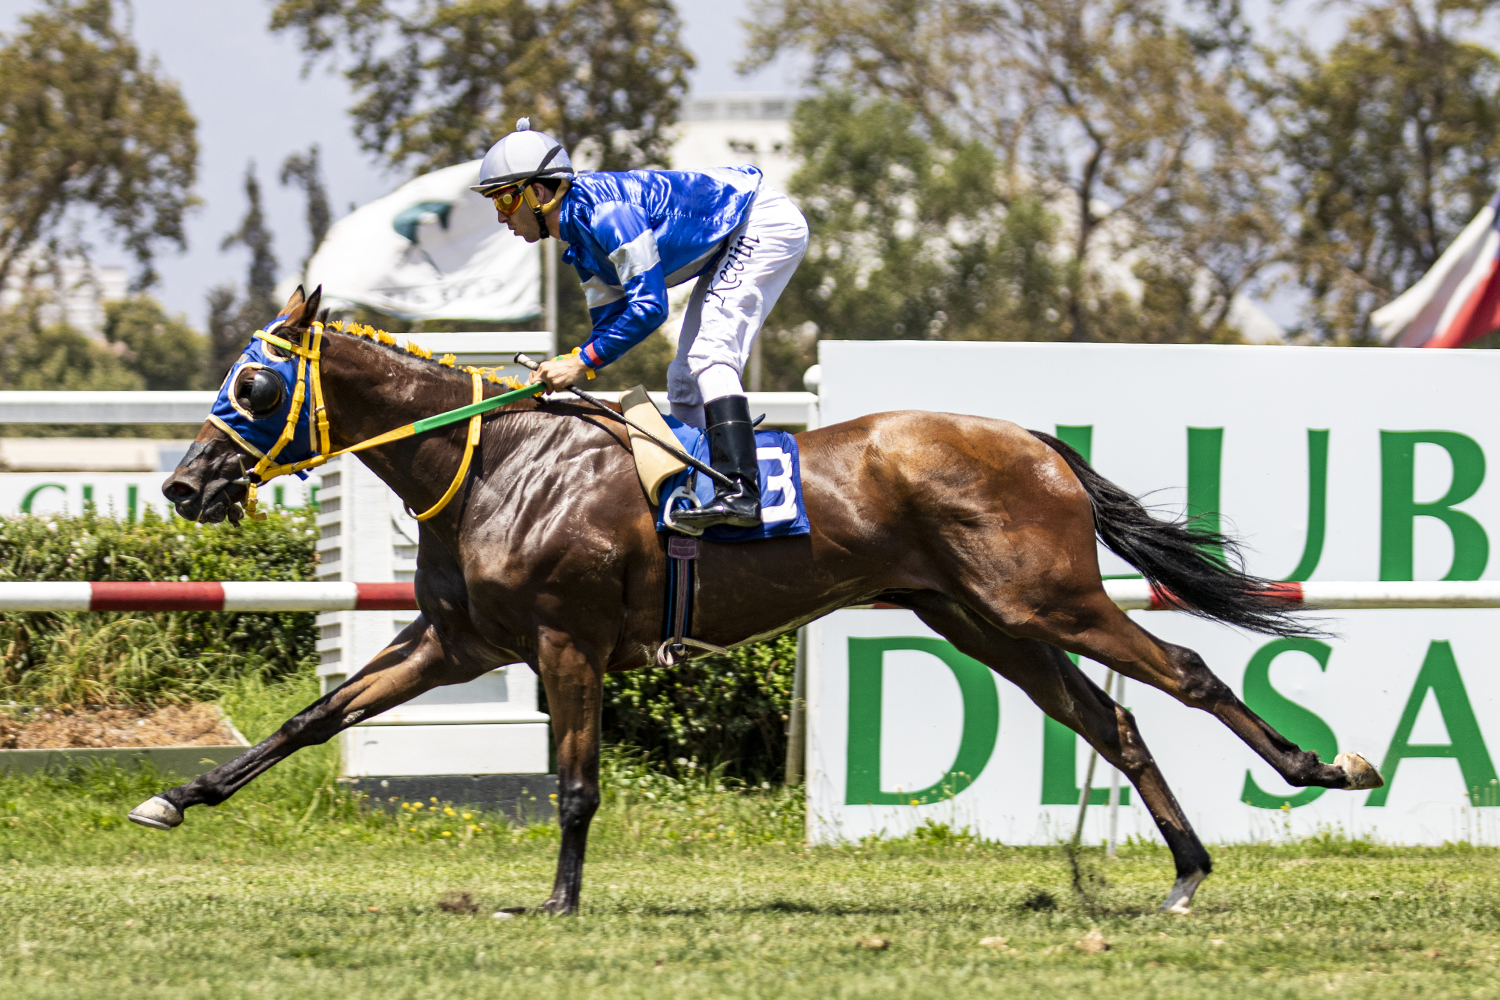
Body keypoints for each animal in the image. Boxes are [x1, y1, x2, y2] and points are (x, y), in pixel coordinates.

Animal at [130, 286, 1382, 915]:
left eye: (254, 381)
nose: (183, 484)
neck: (495, 460)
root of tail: (1032, 439)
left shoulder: (567, 638)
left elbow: (575, 783)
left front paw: (560, 904)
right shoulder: (454, 638)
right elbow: (312, 718)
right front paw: (177, 797)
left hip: (1048, 598)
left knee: (1188, 673)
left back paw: (1321, 767)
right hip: (984, 621)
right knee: (1110, 715)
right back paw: (1185, 870)